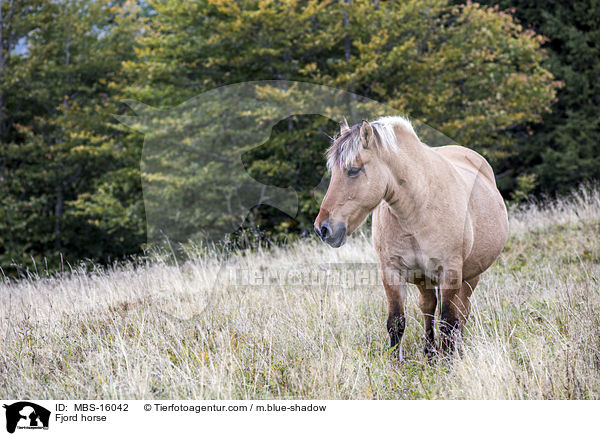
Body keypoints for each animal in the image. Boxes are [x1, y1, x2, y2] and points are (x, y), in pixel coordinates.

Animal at [312, 116, 508, 358]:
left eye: (353, 170)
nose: (322, 228)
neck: (417, 209)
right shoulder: (391, 272)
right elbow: (396, 322)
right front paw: (395, 363)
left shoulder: (451, 272)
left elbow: (448, 322)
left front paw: (449, 362)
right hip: (424, 278)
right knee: (428, 307)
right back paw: (430, 353)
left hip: (471, 276)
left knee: (461, 312)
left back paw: (455, 351)